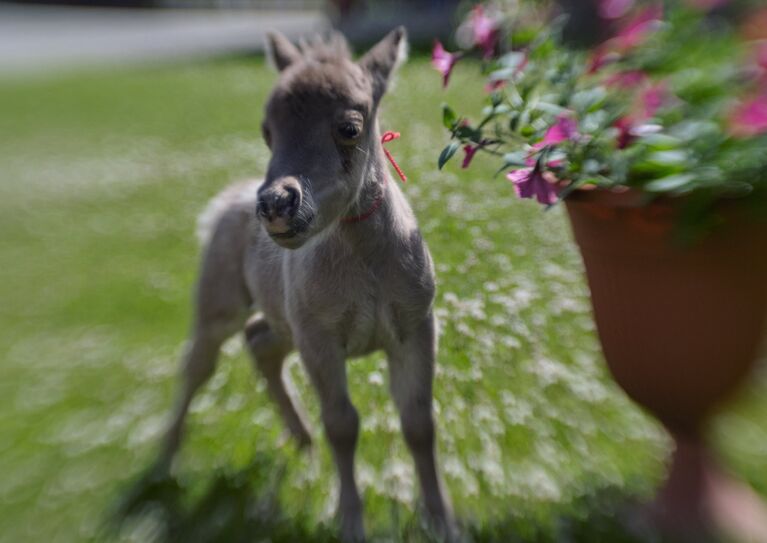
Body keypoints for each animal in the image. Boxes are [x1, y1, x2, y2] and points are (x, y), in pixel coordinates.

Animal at [157, 28, 456, 540]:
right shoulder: (319, 338)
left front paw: (441, 520)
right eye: (267, 131)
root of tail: (227, 199)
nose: (276, 205)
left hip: (284, 319)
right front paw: (351, 522)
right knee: (198, 364)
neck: (366, 264)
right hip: (222, 305)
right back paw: (166, 460)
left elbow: (419, 421)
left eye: (350, 128)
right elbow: (343, 424)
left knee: (260, 341)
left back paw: (302, 442)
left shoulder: (416, 326)